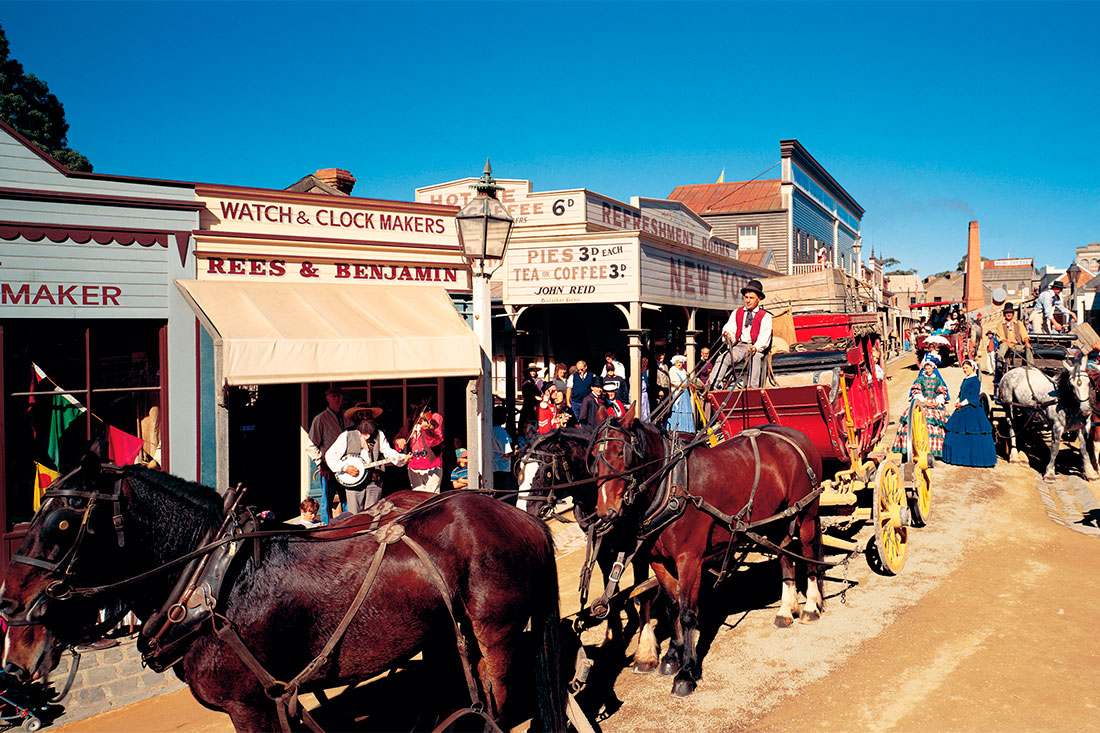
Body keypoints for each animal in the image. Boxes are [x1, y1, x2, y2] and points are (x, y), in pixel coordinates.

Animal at [0, 453, 567, 726]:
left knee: (496, 696)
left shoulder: (250, 704)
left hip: (496, 633)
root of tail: (520, 514)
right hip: (445, 631)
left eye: (66, 521)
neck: (211, 582)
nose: (9, 606)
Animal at [589, 405, 822, 695]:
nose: (605, 511)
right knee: (785, 555)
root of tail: (795, 433)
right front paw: (672, 656)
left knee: (808, 553)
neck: (672, 485)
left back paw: (810, 606)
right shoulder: (658, 560)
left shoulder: (689, 559)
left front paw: (687, 672)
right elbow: (671, 606)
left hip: (807, 512)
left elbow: (688, 613)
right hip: (777, 518)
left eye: (622, 453)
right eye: (593, 458)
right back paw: (785, 609)